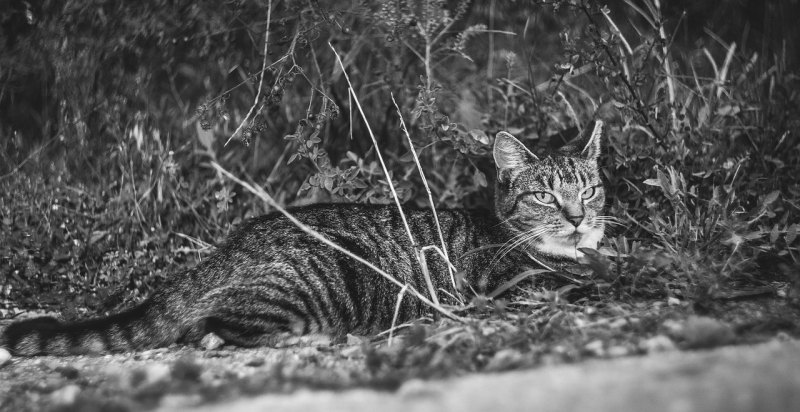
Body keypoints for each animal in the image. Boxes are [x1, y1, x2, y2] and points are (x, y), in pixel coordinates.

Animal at [0, 121, 608, 354]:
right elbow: (574, 288)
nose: (579, 217)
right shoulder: (509, 285)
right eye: (544, 196)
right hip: (320, 279)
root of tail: (225, 252)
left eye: (591, 189)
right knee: (215, 330)